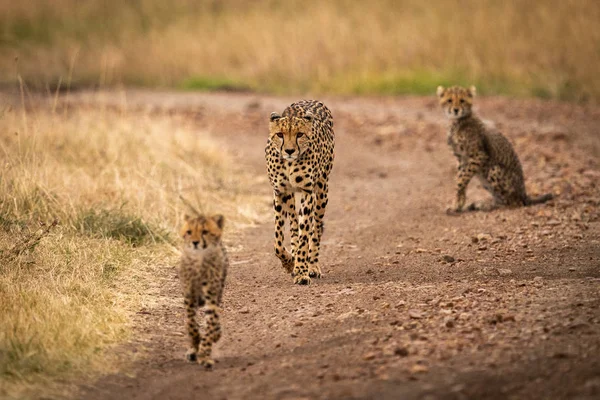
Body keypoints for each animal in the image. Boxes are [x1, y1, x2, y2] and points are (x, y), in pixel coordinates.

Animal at [178, 214, 227, 368]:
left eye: (204, 232)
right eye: (189, 232)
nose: (195, 242)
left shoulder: (211, 297)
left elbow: (210, 324)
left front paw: (204, 354)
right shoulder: (189, 297)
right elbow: (191, 324)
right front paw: (195, 343)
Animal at [264, 101, 336, 286]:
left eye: (300, 134)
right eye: (280, 134)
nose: (289, 151)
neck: (289, 163)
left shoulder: (307, 192)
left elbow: (305, 236)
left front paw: (302, 271)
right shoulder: (279, 192)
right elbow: (278, 241)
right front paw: (289, 263)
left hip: (322, 190)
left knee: (315, 229)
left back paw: (312, 266)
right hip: (290, 197)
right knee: (294, 223)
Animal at [436, 85, 552, 214]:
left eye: (462, 100)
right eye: (449, 100)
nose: (456, 110)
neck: (458, 121)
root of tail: (524, 195)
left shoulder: (478, 156)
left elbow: (461, 180)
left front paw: (457, 203)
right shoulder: (461, 158)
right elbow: (460, 178)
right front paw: (458, 203)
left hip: (494, 170)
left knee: (514, 203)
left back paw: (489, 207)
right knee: (502, 199)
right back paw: (483, 205)